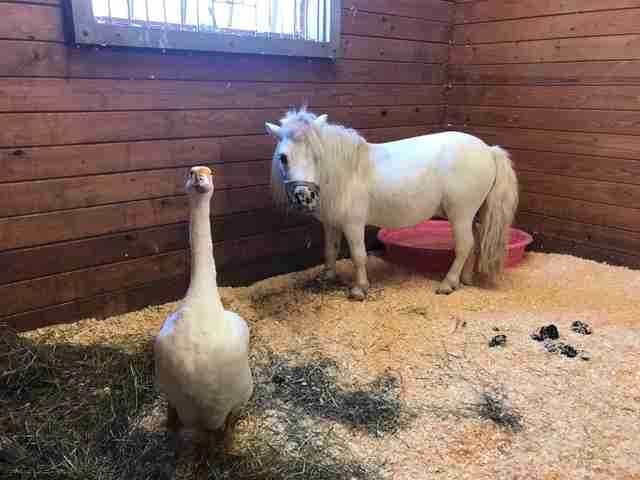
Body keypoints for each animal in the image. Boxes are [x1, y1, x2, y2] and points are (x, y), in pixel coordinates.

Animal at [264, 109, 520, 300]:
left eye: (317, 156)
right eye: (283, 157)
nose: (304, 195)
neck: (346, 173)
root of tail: (488, 150)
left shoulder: (353, 224)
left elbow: (358, 255)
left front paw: (360, 289)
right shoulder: (331, 223)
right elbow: (330, 250)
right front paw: (328, 276)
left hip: (460, 214)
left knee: (464, 245)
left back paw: (448, 283)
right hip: (473, 215)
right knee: (474, 243)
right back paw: (464, 280)